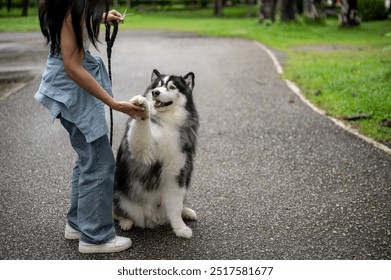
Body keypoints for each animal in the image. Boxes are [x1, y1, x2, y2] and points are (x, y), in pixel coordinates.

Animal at [112, 69, 199, 238]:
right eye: (157, 85)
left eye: (172, 87)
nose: (155, 92)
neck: (167, 122)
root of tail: (153, 217)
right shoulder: (145, 150)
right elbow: (142, 127)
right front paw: (142, 103)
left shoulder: (176, 173)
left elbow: (175, 206)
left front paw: (180, 228)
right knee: (115, 211)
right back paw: (126, 221)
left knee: (180, 204)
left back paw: (186, 212)